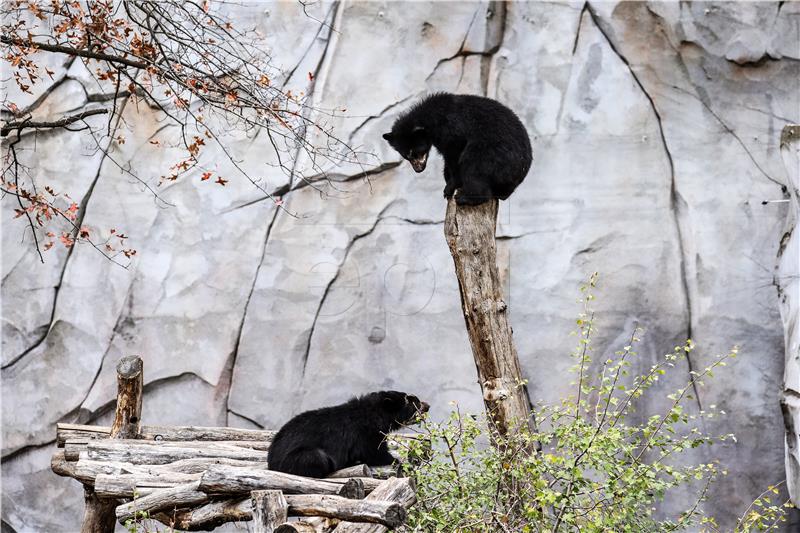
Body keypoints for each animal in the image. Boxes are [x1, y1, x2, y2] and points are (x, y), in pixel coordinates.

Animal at [268, 388, 432, 476]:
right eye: (414, 402)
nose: (427, 406)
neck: (375, 415)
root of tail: (271, 462)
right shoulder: (365, 433)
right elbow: (373, 451)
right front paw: (396, 461)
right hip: (297, 457)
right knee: (317, 458)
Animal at [382, 92, 532, 205]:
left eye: (417, 152)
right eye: (407, 156)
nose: (418, 169)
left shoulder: (452, 131)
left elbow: (454, 154)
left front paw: (449, 188)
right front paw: (448, 180)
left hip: (492, 154)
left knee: (473, 167)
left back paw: (464, 198)